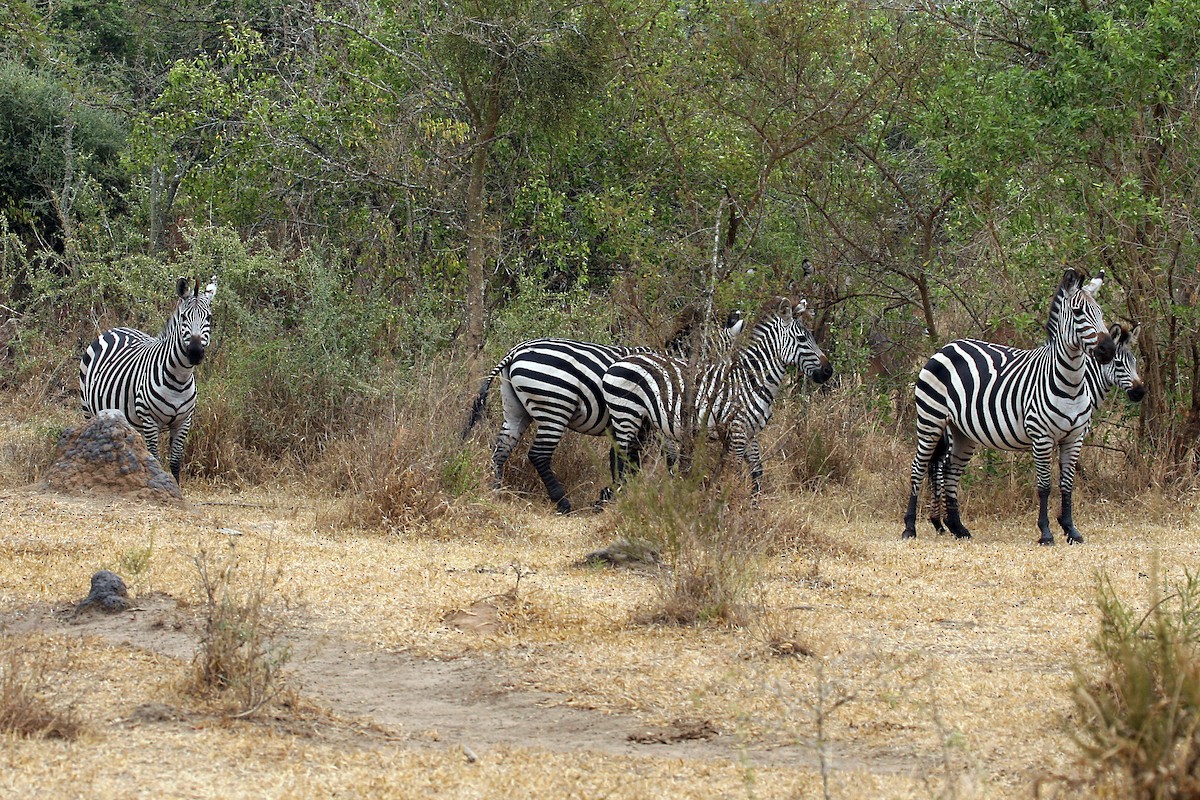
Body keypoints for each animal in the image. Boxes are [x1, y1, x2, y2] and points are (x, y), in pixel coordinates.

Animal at [79, 275, 217, 485]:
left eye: (208, 318)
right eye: (184, 318)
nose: (195, 353)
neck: (179, 378)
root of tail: (116, 329)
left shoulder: (183, 421)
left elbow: (175, 461)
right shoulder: (150, 419)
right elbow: (156, 459)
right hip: (88, 410)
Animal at [462, 311, 746, 513]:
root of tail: (515, 351)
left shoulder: (627, 423)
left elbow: (621, 460)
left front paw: (612, 494)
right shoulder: (652, 420)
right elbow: (653, 459)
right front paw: (620, 494)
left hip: (516, 408)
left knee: (501, 448)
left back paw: (496, 491)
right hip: (555, 405)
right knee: (539, 454)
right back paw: (562, 502)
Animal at [601, 296, 833, 497]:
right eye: (802, 339)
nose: (828, 371)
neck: (751, 381)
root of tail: (620, 360)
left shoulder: (751, 433)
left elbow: (757, 471)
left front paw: (754, 505)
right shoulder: (738, 431)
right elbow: (734, 472)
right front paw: (730, 506)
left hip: (643, 422)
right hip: (626, 415)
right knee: (620, 457)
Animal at [901, 268, 1116, 545]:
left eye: (1099, 312)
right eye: (1078, 312)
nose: (1108, 349)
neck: (1071, 382)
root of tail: (947, 346)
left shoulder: (1074, 437)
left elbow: (1067, 485)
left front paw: (1071, 530)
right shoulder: (1041, 436)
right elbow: (1044, 486)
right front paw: (1046, 532)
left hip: (962, 432)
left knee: (950, 472)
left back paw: (958, 527)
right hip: (931, 419)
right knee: (918, 468)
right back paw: (909, 527)